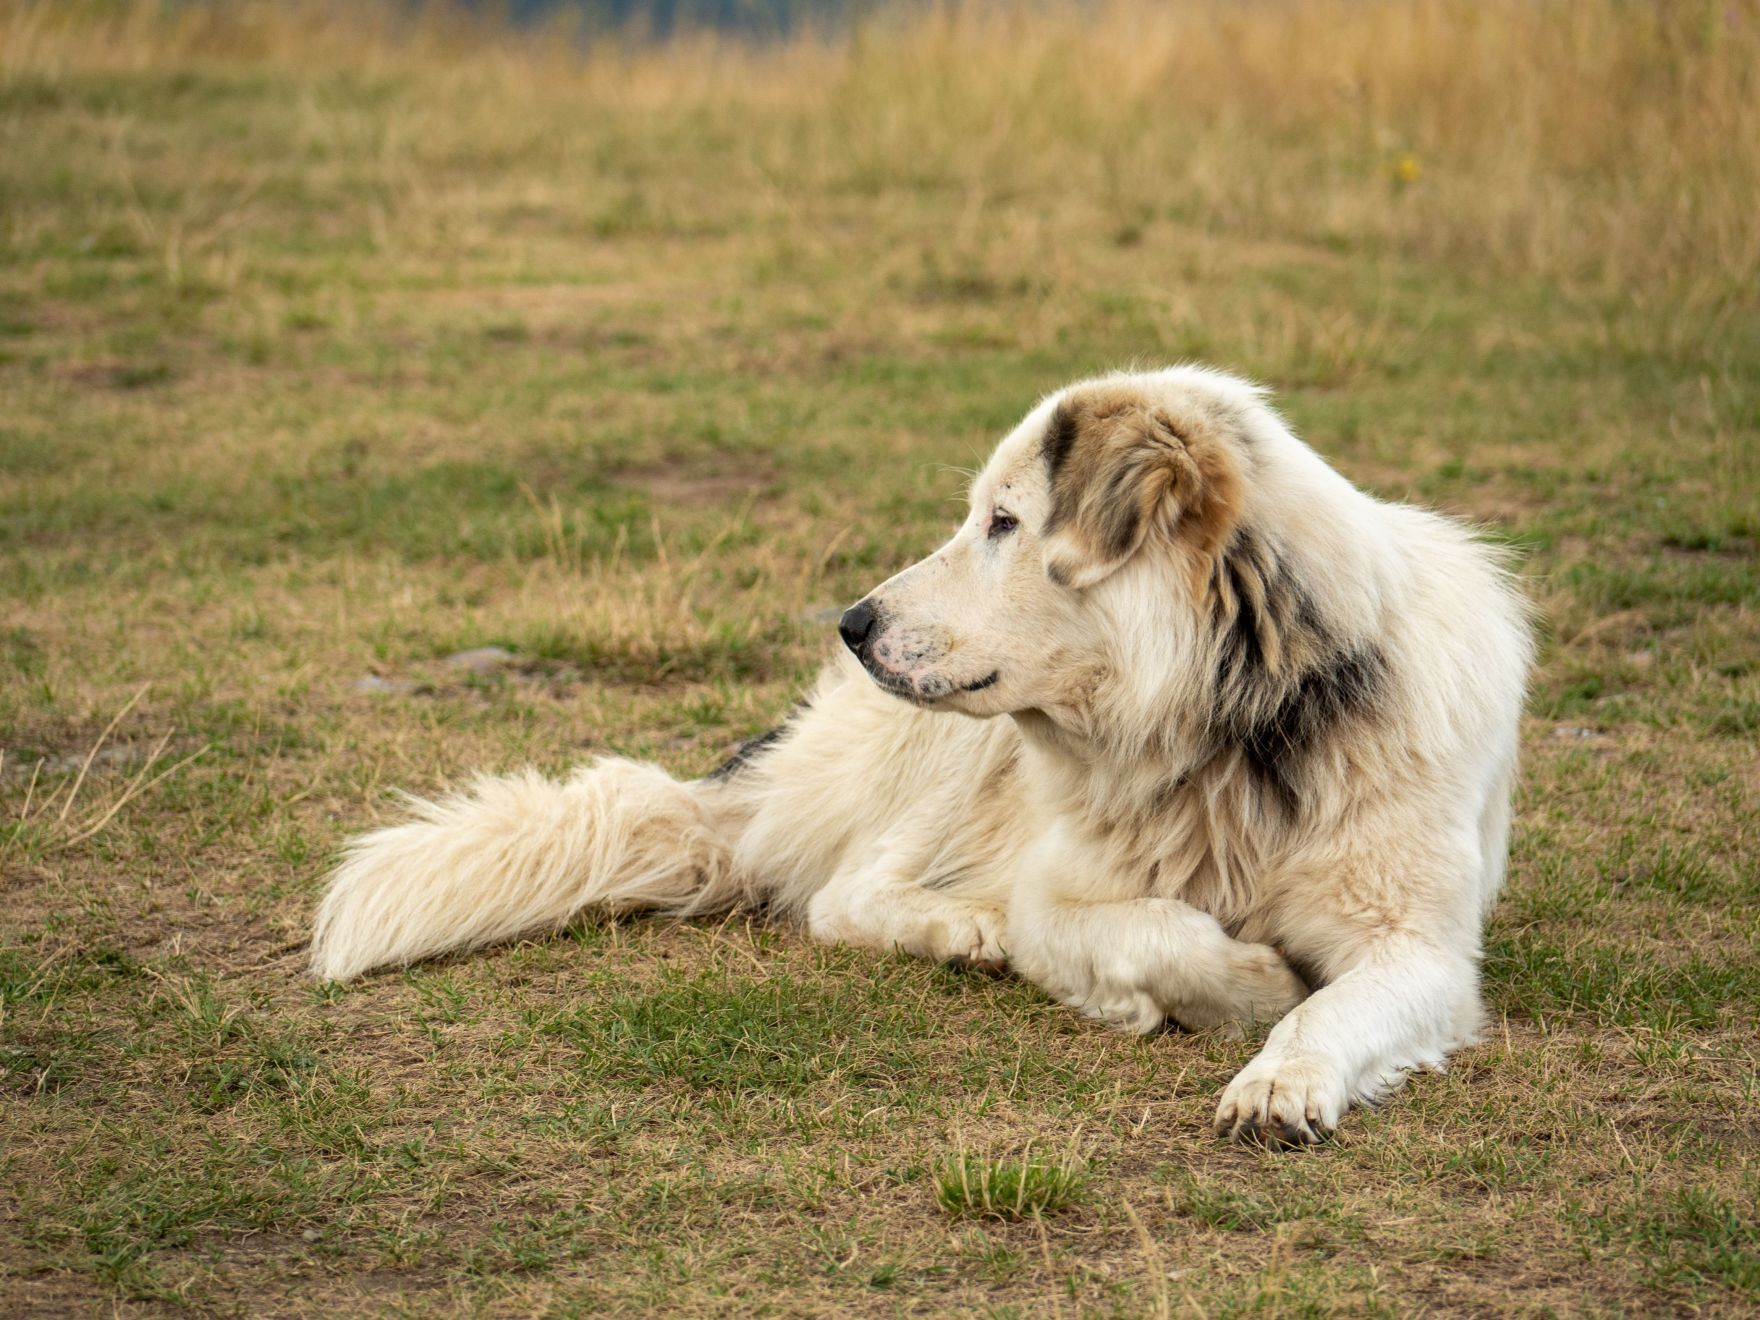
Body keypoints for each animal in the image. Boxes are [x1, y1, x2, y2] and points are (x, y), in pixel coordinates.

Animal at [309, 364, 1534, 1147]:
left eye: (1003, 522)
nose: (852, 624)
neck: (1232, 727)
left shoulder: (1422, 949)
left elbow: (1336, 1006)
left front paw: (1281, 1076)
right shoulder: (1063, 891)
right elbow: (1161, 936)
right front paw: (1247, 982)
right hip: (950, 756)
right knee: (842, 896)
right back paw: (962, 930)